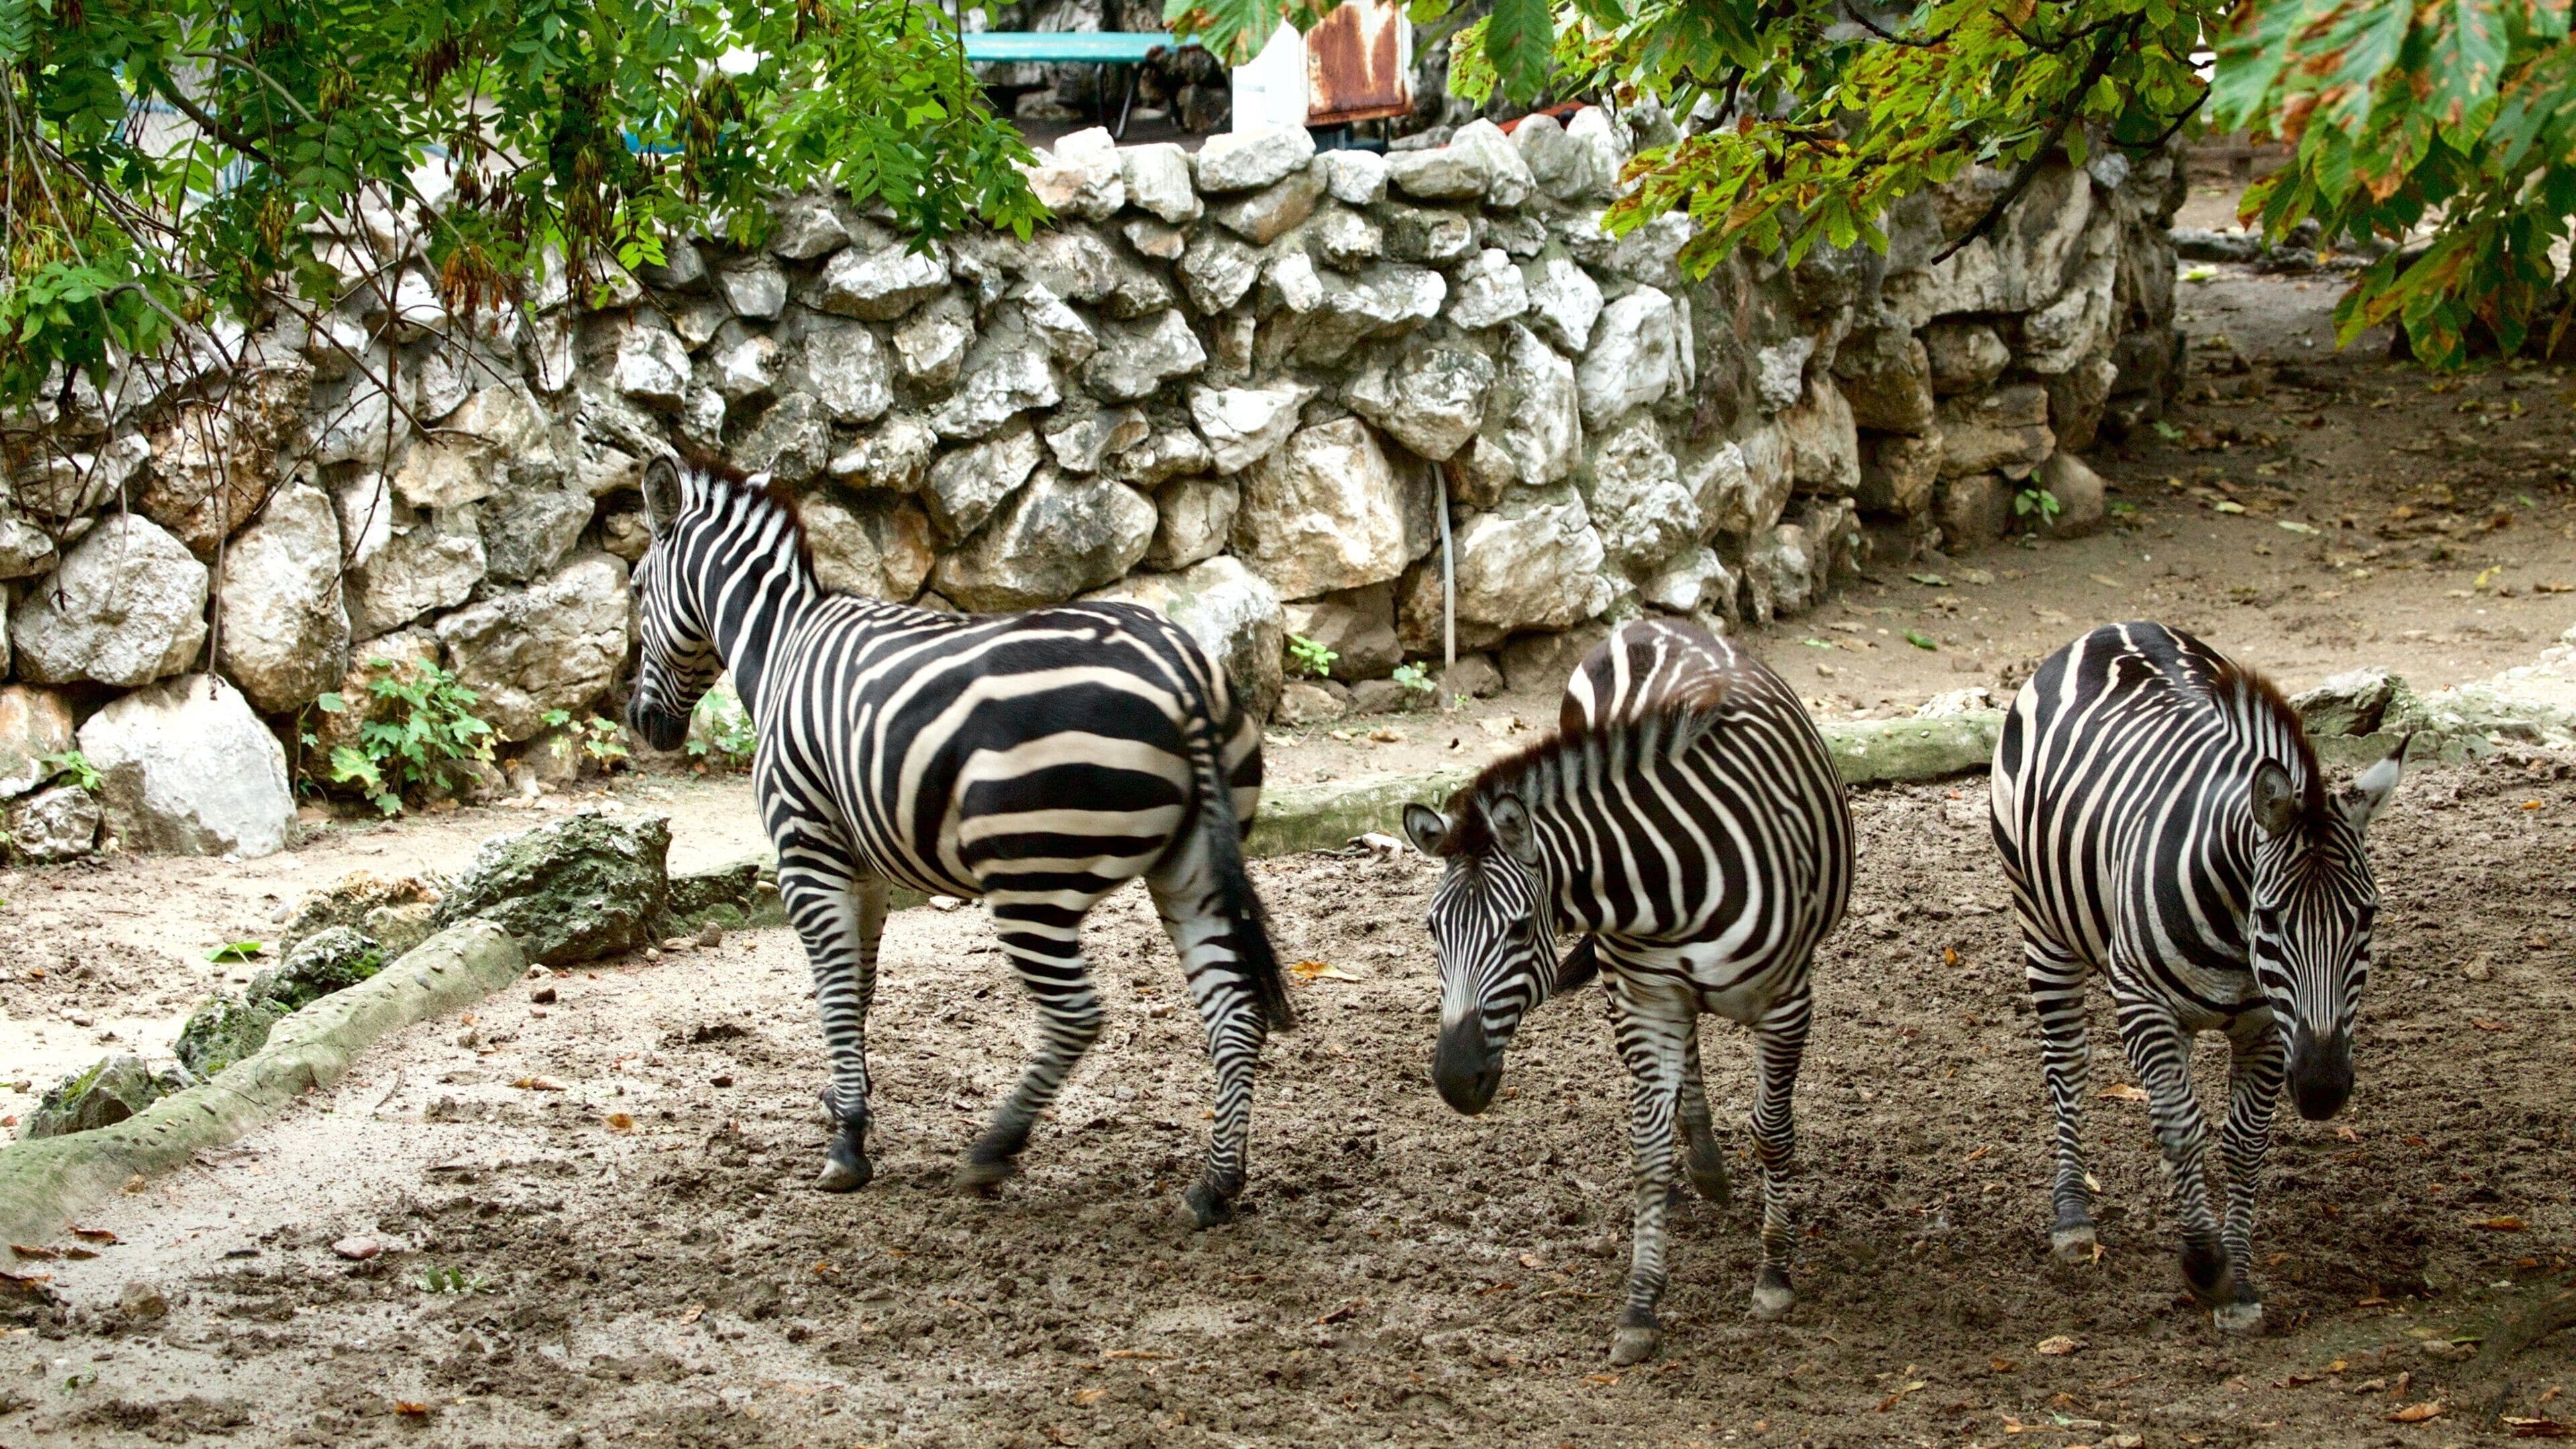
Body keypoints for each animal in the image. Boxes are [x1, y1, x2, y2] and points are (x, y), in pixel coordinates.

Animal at [622, 457, 1294, 1227]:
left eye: (637, 588)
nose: (642, 724)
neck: (782, 646)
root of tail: (1177, 667)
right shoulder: (866, 870)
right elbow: (861, 984)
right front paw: (849, 1102)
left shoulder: (805, 850)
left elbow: (832, 988)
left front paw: (847, 1144)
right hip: (1193, 872)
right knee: (1236, 1015)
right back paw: (1216, 1184)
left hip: (1031, 874)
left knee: (1076, 1016)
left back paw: (993, 1151)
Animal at [1402, 619, 1852, 1365]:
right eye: (1434, 929)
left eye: (1519, 928)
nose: (1455, 1082)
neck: (1676, 882)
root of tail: (1647, 623)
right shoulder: (1645, 1001)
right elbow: (1645, 1148)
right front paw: (1641, 1303)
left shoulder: (1788, 1003)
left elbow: (1773, 1133)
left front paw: (1775, 1270)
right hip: (1634, 984)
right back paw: (1699, 1170)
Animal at [1990, 621, 2404, 1331]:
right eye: (2271, 917)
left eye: (2368, 916)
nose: (2323, 1090)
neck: (2236, 930)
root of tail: (2110, 627)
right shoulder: (2144, 1003)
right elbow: (2184, 1127)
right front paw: (2205, 1265)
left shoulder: (2269, 1027)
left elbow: (2244, 1141)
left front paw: (2237, 1277)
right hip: (2041, 925)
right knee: (2068, 1066)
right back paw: (2072, 1216)